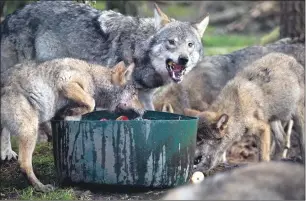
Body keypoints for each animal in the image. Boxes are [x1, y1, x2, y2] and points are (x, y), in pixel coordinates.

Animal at [0, 0, 209, 110]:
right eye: (171, 42)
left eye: (190, 45)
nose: (184, 59)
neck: (138, 49)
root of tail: (10, 17)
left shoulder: (145, 96)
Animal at [0, 58, 143, 192]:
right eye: (134, 94)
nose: (143, 110)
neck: (93, 77)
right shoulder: (66, 83)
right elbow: (91, 102)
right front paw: (67, 110)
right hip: (30, 131)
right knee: (24, 164)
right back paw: (41, 187)